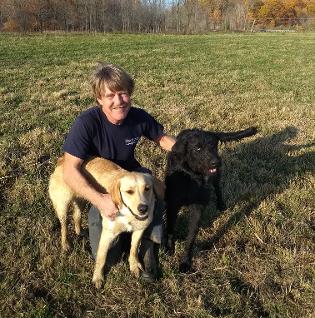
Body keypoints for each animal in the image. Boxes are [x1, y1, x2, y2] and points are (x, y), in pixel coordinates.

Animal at [48, 156, 165, 288]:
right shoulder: (107, 235)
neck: (127, 214)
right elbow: (102, 258)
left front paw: (134, 266)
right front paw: (98, 278)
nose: (143, 208)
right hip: (62, 205)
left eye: (147, 189)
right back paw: (65, 244)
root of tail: (62, 159)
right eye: (129, 191)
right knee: (64, 226)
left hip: (81, 200)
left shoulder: (139, 230)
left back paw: (80, 231)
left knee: (76, 216)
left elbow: (134, 249)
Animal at [164, 126, 258, 274]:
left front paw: (185, 261)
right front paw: (169, 247)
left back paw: (221, 205)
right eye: (197, 148)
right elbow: (170, 227)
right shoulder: (173, 204)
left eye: (213, 146)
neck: (193, 177)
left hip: (217, 176)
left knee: (218, 187)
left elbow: (191, 237)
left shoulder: (198, 208)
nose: (216, 162)